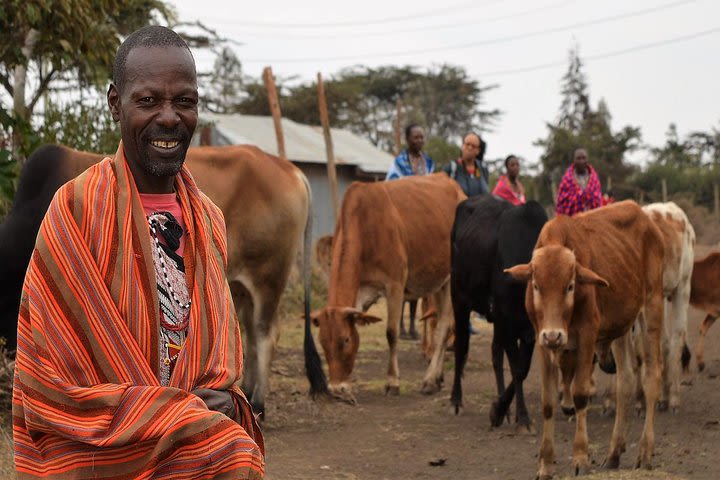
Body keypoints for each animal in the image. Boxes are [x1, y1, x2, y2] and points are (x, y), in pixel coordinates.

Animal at [310, 174, 466, 404]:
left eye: (345, 340)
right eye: (322, 341)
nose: (337, 388)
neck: (366, 225)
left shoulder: (395, 285)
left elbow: (391, 333)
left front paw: (392, 382)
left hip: (453, 279)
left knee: (445, 326)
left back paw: (429, 381)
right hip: (439, 283)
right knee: (440, 325)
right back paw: (437, 378)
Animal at [450, 195, 544, 432]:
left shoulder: (526, 331)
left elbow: (522, 369)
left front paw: (505, 410)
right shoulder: (507, 321)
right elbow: (517, 368)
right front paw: (519, 416)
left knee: (495, 353)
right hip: (459, 300)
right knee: (461, 346)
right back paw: (456, 400)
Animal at [506, 200, 664, 480]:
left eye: (570, 285)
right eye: (535, 285)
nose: (554, 335)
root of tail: (646, 218)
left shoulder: (588, 336)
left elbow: (580, 394)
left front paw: (580, 457)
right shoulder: (541, 342)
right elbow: (548, 402)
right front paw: (545, 464)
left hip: (651, 309)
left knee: (651, 376)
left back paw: (645, 451)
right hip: (622, 328)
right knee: (626, 380)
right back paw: (614, 452)